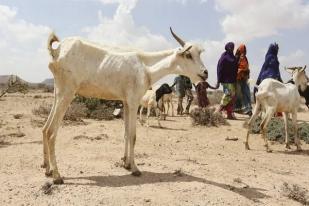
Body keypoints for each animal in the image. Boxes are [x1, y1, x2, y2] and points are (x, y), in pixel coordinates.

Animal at [42, 27, 206, 183]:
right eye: (188, 55)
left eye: (199, 53)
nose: (205, 73)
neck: (145, 66)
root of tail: (57, 50)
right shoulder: (133, 102)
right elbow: (133, 135)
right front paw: (134, 168)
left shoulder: (126, 102)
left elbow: (126, 133)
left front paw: (126, 163)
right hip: (67, 94)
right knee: (51, 132)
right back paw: (57, 176)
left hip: (58, 94)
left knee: (44, 128)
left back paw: (48, 169)